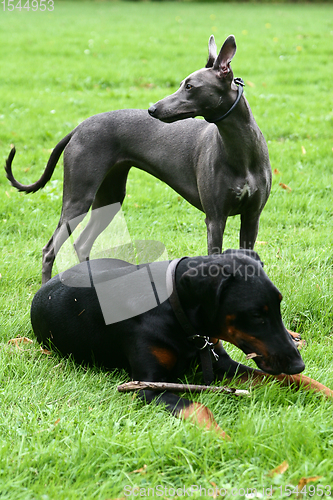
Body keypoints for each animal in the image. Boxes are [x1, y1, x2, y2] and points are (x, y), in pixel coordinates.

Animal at [4, 34, 270, 286]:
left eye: (190, 86)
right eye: (182, 84)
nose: (152, 109)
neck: (241, 152)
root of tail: (79, 127)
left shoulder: (251, 217)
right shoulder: (215, 219)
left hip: (109, 199)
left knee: (82, 243)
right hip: (78, 198)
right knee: (50, 249)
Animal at [31, 250, 306, 438]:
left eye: (279, 305)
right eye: (256, 315)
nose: (298, 364)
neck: (173, 307)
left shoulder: (222, 363)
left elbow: (290, 379)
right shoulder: (146, 386)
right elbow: (198, 408)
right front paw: (224, 441)